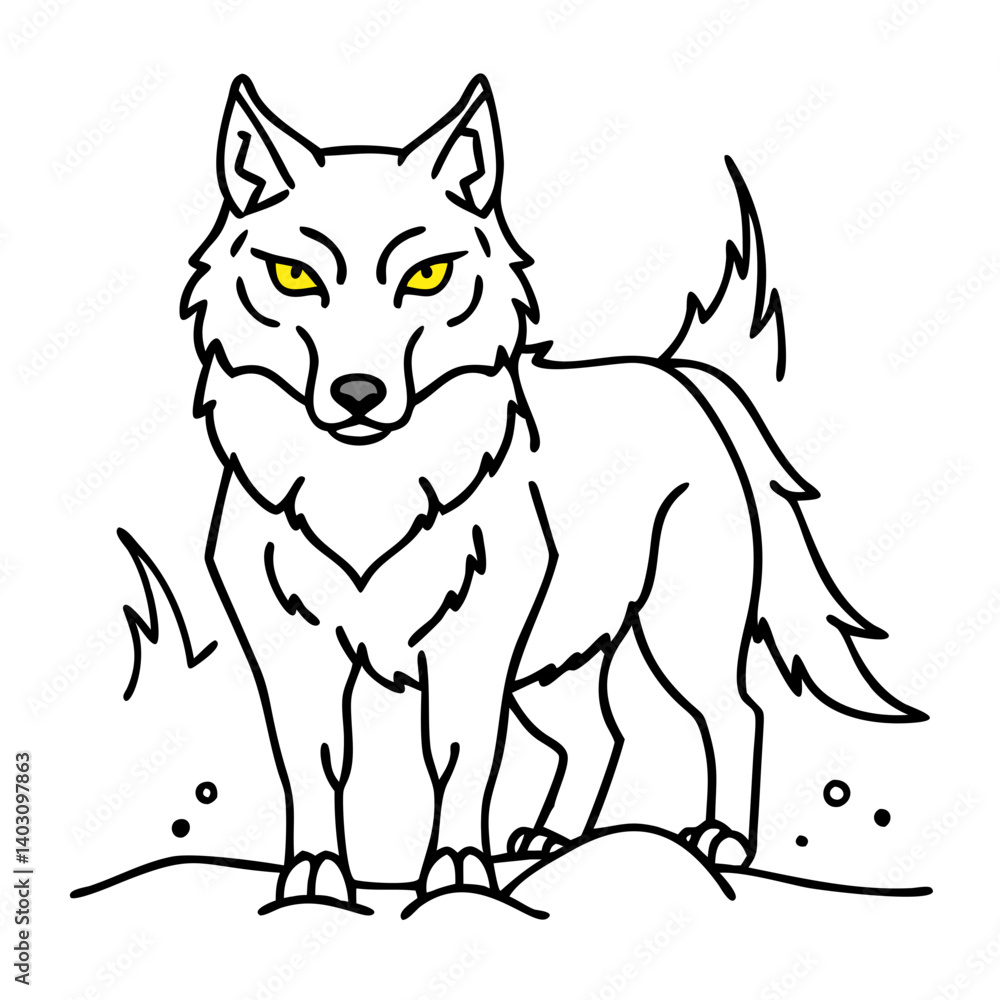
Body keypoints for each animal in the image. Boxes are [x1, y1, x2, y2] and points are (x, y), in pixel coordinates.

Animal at [182, 74, 924, 911]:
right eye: (296, 276)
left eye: (426, 275)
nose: (358, 394)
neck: (368, 489)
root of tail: (678, 372)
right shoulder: (291, 647)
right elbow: (310, 761)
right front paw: (313, 876)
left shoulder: (472, 644)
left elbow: (459, 756)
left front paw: (457, 871)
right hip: (549, 662)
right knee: (600, 734)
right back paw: (551, 841)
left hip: (673, 634)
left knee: (737, 710)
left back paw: (721, 840)